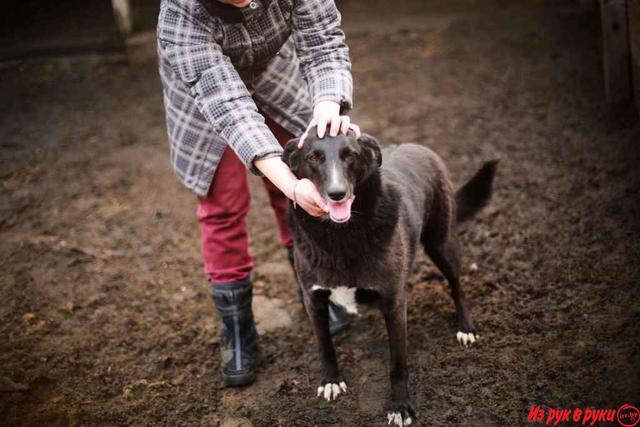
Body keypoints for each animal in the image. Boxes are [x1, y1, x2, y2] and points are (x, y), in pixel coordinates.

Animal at [282, 130, 498, 427]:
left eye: (350, 155)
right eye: (313, 157)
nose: (337, 194)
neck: (341, 236)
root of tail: (419, 146)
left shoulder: (395, 304)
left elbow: (397, 363)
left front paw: (400, 406)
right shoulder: (313, 300)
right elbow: (324, 346)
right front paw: (330, 381)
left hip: (441, 243)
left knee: (457, 285)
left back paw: (466, 326)